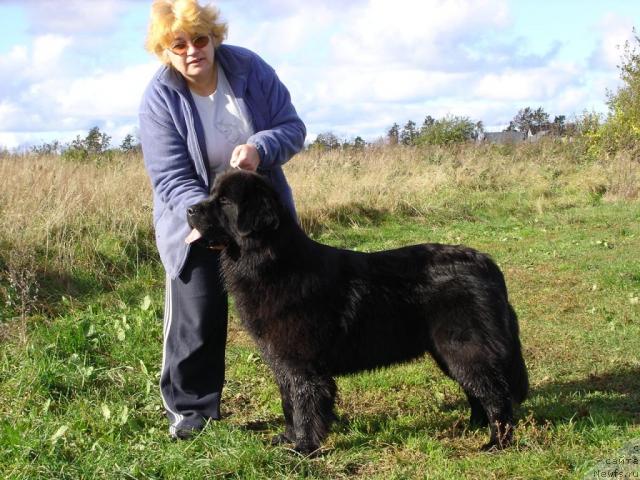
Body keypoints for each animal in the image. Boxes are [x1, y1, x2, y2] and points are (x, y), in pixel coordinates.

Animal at [188, 170, 528, 454]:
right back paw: (473, 426)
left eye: (224, 201)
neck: (274, 264)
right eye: (211, 195)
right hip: (448, 352)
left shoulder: (304, 367)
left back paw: (496, 443)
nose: (190, 210)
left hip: (464, 348)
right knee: (478, 391)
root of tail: (486, 263)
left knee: (496, 395)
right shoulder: (282, 362)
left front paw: (303, 450)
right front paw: (286, 439)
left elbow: (305, 407)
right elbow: (289, 404)